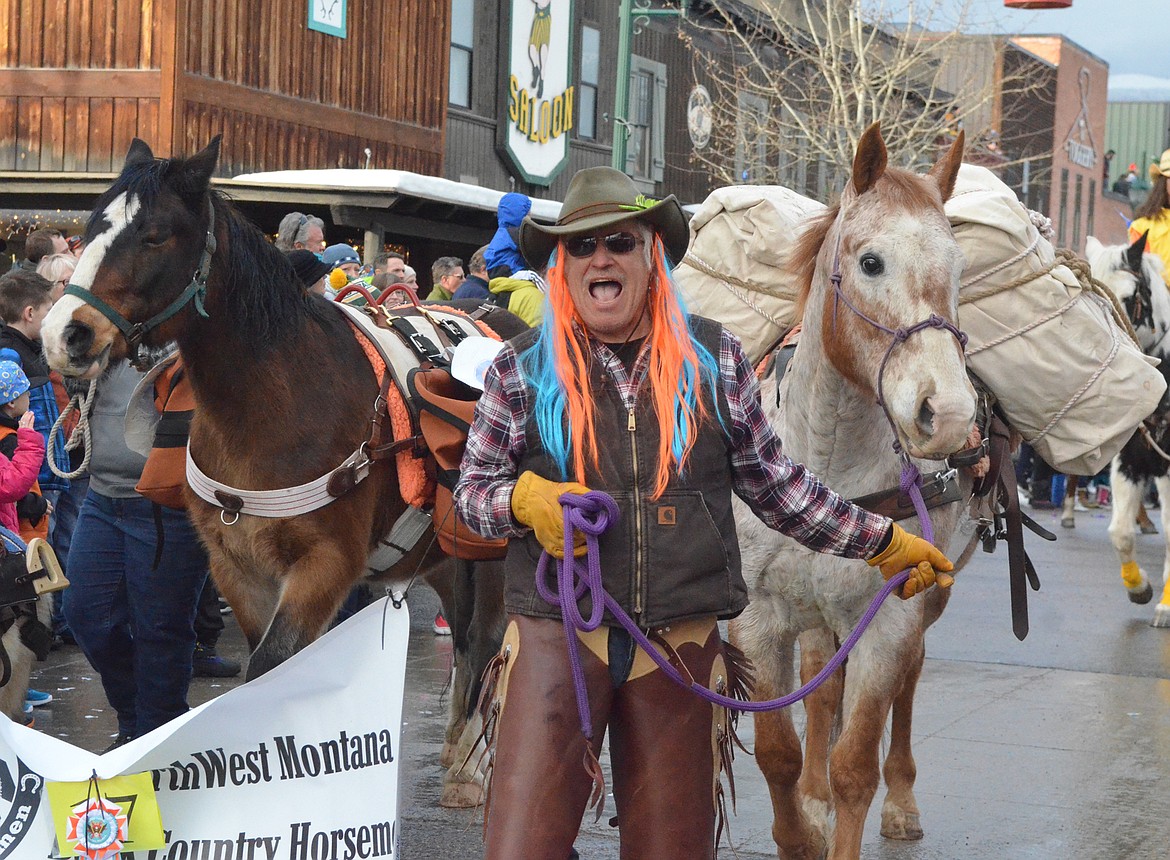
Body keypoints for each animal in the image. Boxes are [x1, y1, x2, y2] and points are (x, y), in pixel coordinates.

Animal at [38, 138, 521, 805]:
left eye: (155, 235)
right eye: (88, 230)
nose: (65, 335)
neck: (277, 403)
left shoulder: (325, 563)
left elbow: (275, 667)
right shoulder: (235, 567)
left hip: (489, 547)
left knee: (487, 631)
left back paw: (468, 770)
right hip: (440, 548)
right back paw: (456, 746)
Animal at [730, 124, 978, 856]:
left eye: (960, 271)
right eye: (871, 263)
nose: (948, 415)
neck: (829, 473)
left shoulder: (891, 616)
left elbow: (855, 768)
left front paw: (853, 804)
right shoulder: (758, 619)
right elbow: (778, 752)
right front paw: (800, 830)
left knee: (909, 683)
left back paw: (902, 801)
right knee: (820, 689)